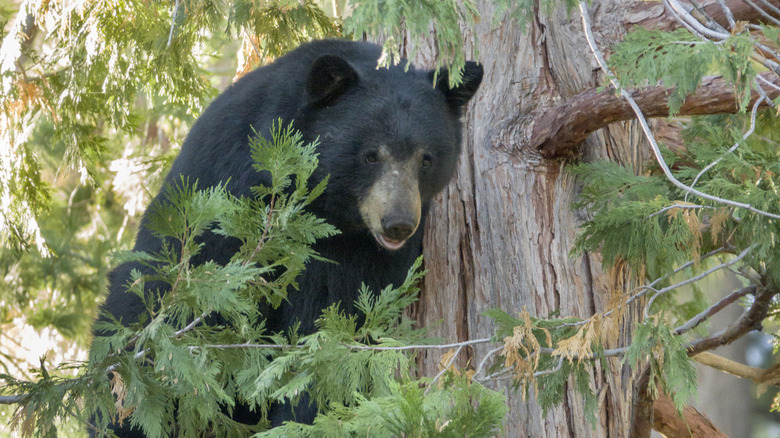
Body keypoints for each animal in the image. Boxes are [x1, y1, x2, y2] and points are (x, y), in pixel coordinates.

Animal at [91, 40, 482, 434]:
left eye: (426, 159)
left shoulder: (369, 258)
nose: (398, 223)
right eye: (371, 155)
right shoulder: (228, 188)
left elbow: (336, 327)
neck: (328, 211)